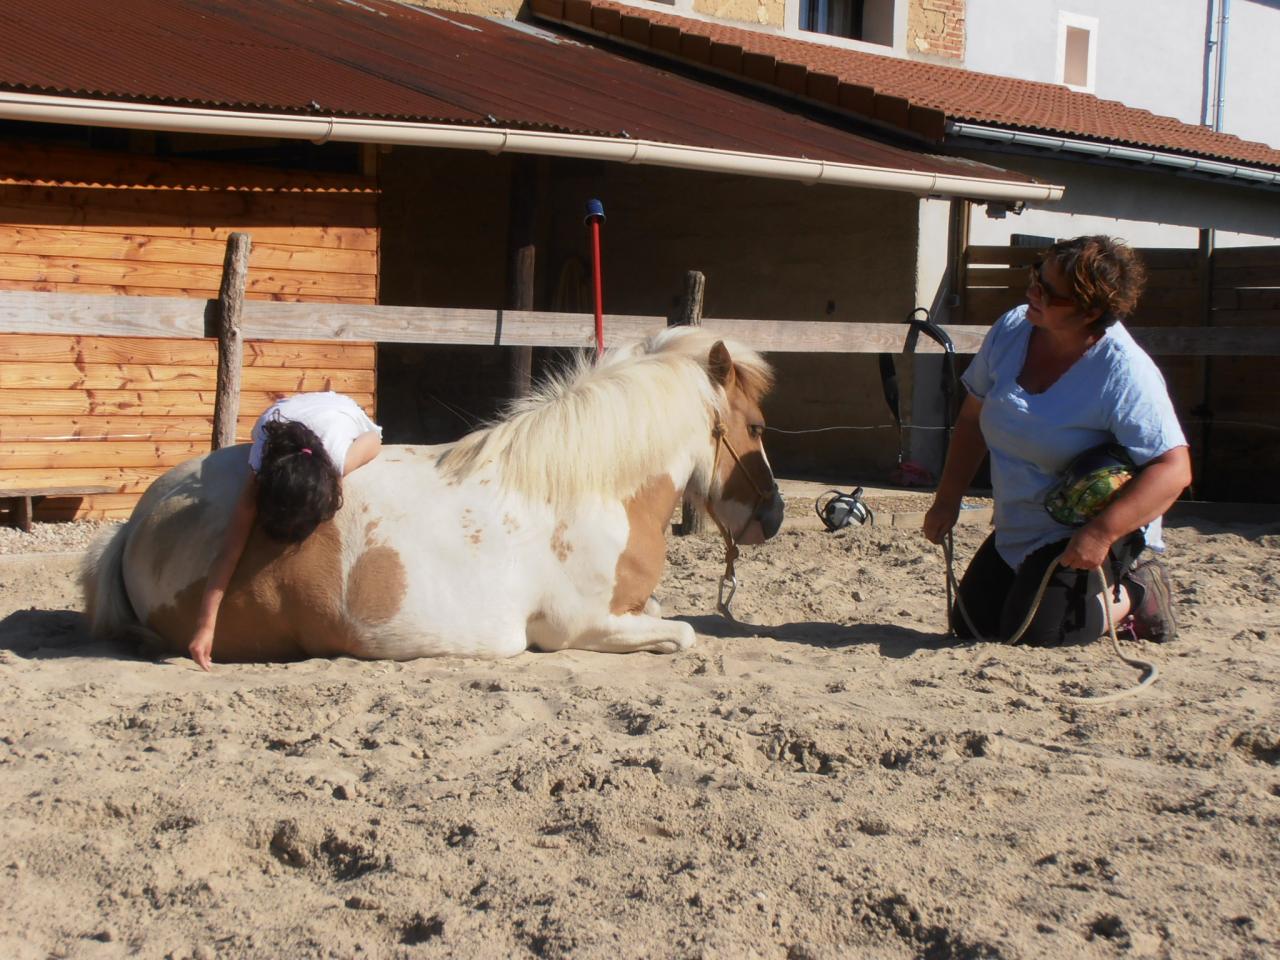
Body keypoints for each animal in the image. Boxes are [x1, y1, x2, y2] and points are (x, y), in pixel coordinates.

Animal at [82, 330, 778, 660]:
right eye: (756, 427)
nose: (772, 516)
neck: (583, 489)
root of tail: (139, 521)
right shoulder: (579, 627)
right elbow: (683, 634)